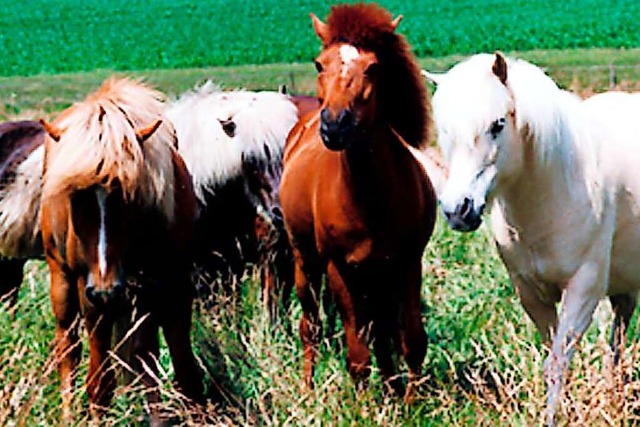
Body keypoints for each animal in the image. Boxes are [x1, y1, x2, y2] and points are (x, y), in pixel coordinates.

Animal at [39, 77, 202, 422]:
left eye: (127, 195)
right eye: (74, 197)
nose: (105, 290)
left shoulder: (175, 287)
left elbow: (184, 372)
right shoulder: (92, 297)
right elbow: (100, 384)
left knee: (144, 355)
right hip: (63, 282)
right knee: (68, 351)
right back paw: (68, 414)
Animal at [282, 3, 438, 400]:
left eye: (373, 67)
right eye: (319, 64)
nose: (335, 126)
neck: (370, 198)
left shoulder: (406, 264)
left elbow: (411, 340)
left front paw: (411, 401)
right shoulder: (340, 269)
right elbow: (357, 355)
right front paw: (365, 405)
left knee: (380, 332)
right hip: (306, 264)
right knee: (310, 326)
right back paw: (308, 387)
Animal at [424, 52, 640, 424]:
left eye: (498, 124)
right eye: (445, 129)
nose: (458, 209)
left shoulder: (583, 289)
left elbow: (557, 364)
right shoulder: (531, 294)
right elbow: (551, 362)